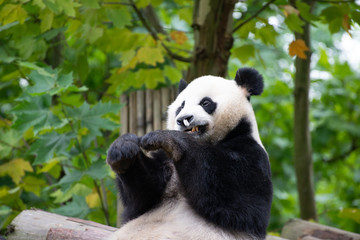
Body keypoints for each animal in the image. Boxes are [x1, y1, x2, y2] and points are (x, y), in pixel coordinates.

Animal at [107, 68, 272, 240]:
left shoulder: (251, 153)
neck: (208, 141)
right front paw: (123, 149)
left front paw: (169, 138)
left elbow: (241, 204)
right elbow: (140, 201)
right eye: (181, 106)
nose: (183, 119)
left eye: (205, 103)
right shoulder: (166, 161)